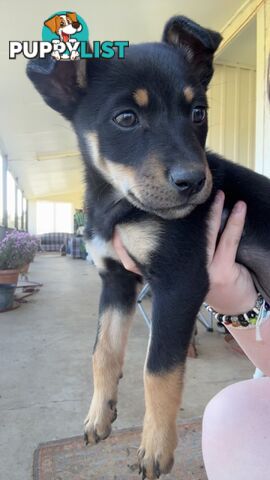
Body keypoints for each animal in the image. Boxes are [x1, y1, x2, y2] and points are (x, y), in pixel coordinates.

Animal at [27, 15, 270, 480]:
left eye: (198, 112)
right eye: (126, 117)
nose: (194, 183)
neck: (119, 205)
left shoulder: (180, 279)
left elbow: (157, 369)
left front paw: (155, 448)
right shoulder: (117, 280)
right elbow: (102, 351)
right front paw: (98, 416)